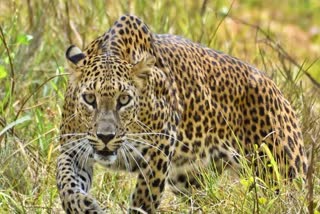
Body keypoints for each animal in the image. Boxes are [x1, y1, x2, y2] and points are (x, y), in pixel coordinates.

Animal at [57, 14, 308, 213]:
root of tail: (278, 90)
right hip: (189, 180)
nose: (105, 137)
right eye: (90, 99)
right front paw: (85, 207)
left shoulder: (158, 153)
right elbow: (66, 183)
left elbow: (143, 200)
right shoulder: (72, 150)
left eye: (124, 100)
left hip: (282, 172)